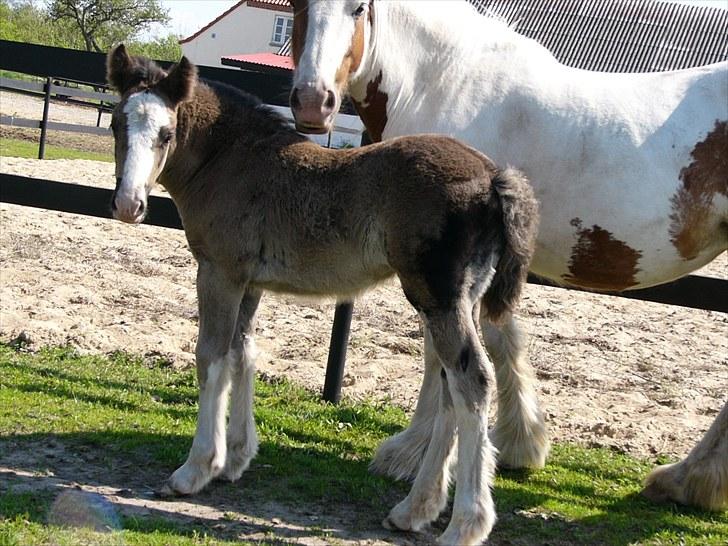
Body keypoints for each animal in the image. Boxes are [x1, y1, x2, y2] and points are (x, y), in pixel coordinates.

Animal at [108, 46, 540, 544]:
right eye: (116, 125)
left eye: (166, 133)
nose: (128, 205)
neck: (232, 160)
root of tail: (494, 176)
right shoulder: (249, 283)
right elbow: (243, 353)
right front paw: (236, 457)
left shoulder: (219, 273)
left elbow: (211, 356)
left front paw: (196, 469)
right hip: (455, 303)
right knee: (452, 385)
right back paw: (413, 510)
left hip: (440, 299)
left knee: (473, 382)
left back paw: (464, 525)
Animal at [290, 0, 728, 510]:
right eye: (297, 6)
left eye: (358, 8)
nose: (312, 102)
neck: (441, 81)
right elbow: (501, 339)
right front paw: (521, 444)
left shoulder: (442, 268)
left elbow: (441, 356)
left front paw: (410, 455)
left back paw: (689, 478)